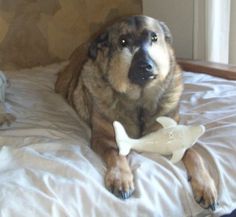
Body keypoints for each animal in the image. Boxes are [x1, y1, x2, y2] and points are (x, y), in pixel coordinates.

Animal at [55, 15, 218, 210]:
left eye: (154, 37)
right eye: (123, 42)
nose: (145, 66)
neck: (139, 100)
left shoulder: (174, 135)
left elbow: (195, 155)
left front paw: (205, 185)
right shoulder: (103, 137)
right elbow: (115, 153)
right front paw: (120, 177)